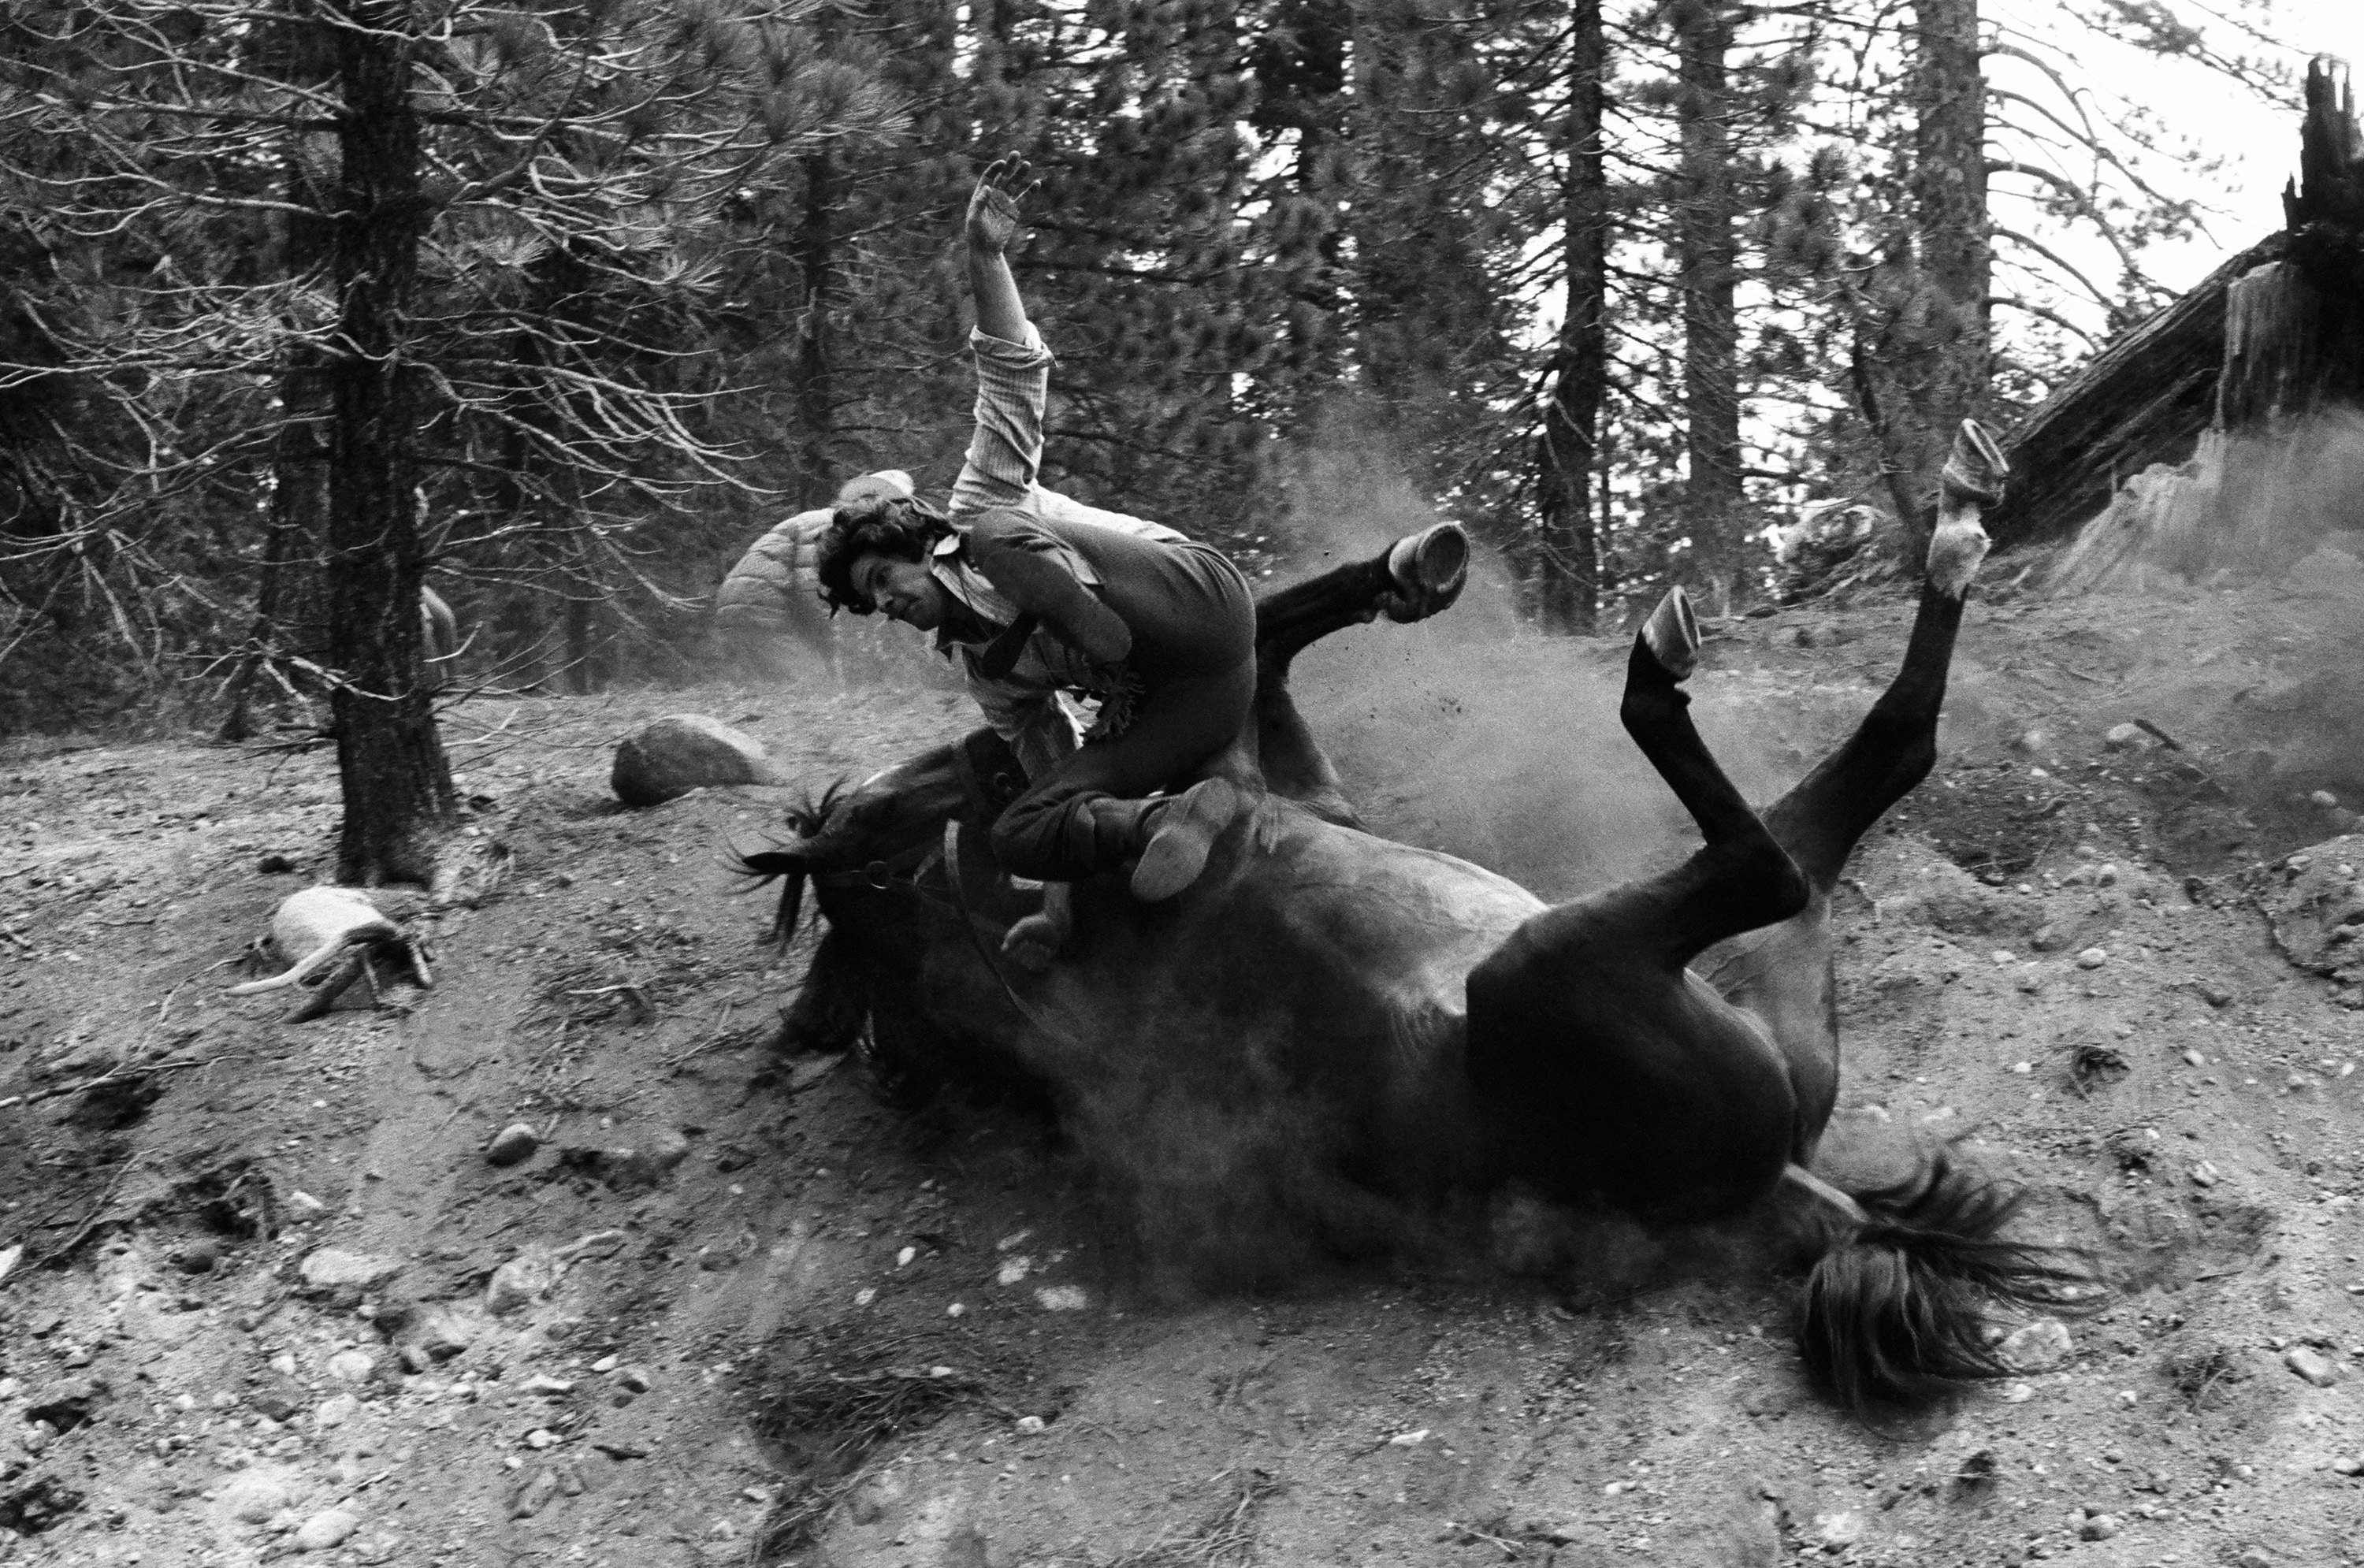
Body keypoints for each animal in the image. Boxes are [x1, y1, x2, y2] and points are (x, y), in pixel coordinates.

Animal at [738, 423, 2090, 1418]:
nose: (963, 750)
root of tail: (1801, 1198)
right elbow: (1253, 657)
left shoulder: (1300, 791)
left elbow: (1270, 633)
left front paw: (1405, 570)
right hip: (1563, 962)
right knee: (1779, 845)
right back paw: (1698, 648)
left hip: (1763, 990)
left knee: (1840, 808)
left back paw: (1956, 520)